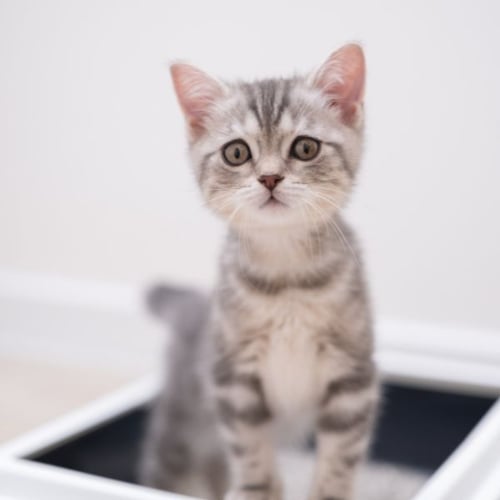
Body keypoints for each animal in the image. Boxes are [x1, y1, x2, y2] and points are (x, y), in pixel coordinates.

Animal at [141, 44, 378, 500]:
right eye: (236, 153)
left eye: (305, 148)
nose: (270, 177)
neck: (287, 278)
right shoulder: (232, 379)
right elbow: (251, 451)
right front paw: (257, 489)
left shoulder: (354, 377)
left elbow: (339, 458)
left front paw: (328, 492)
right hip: (182, 424)